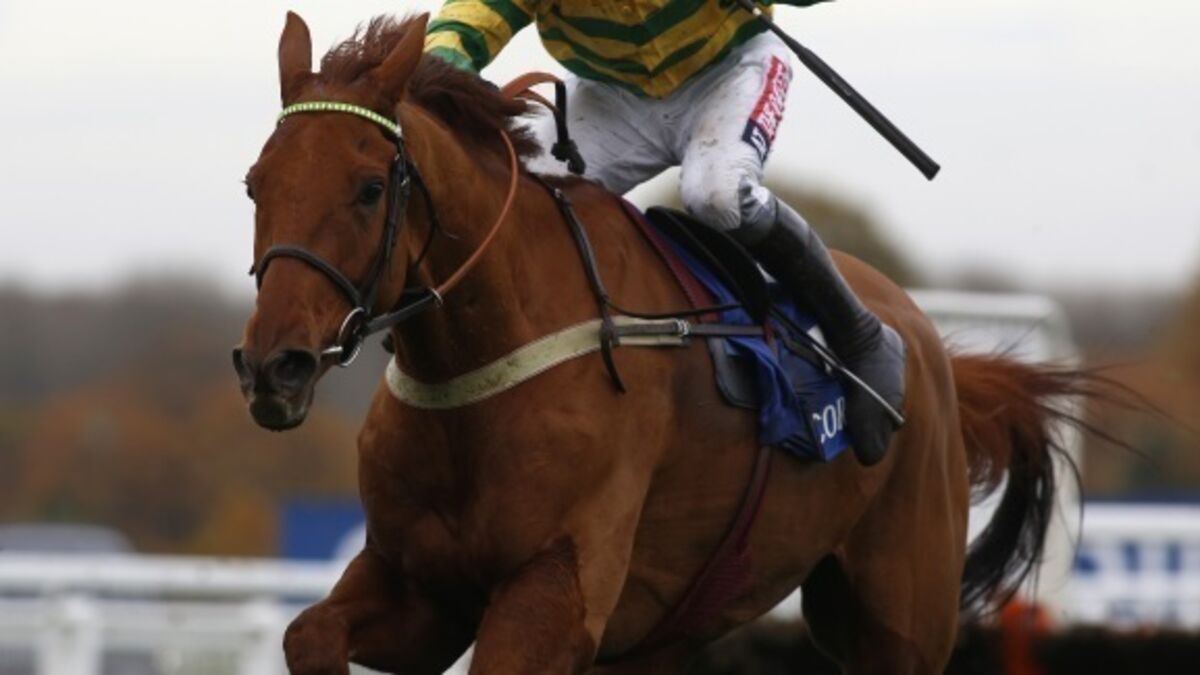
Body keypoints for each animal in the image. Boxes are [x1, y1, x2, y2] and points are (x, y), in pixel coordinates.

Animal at [233, 13, 1090, 674]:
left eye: (370, 188)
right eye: (254, 184)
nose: (274, 365)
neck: (476, 367)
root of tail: (927, 345)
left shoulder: (554, 592)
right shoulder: (420, 588)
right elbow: (306, 631)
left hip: (900, 613)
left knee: (727, 194)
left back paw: (868, 354)